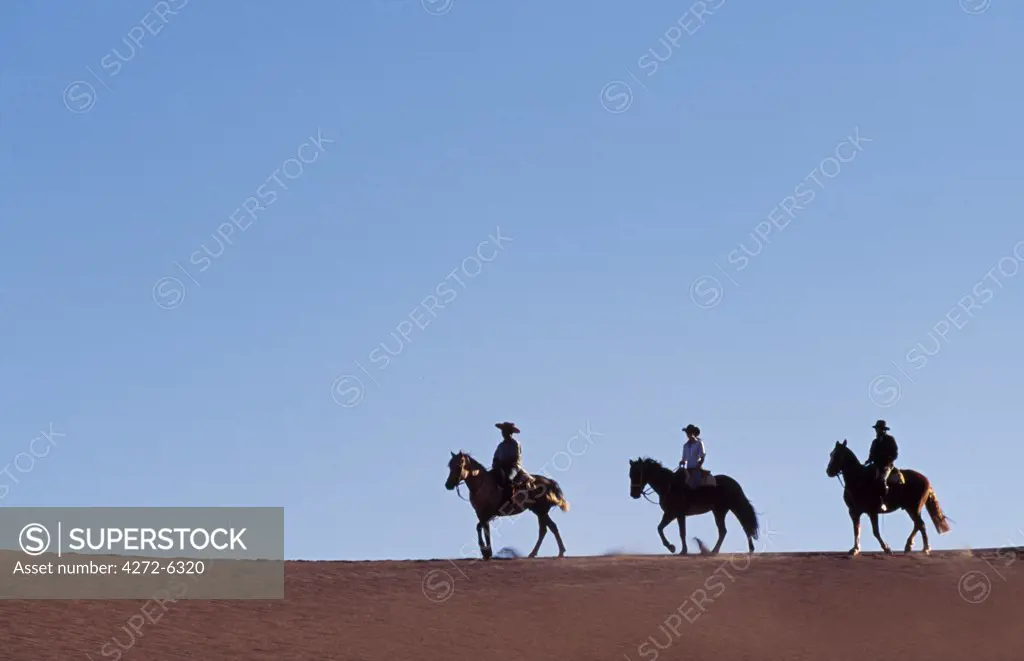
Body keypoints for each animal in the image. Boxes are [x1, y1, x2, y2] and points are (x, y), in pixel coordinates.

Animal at [444, 450, 573, 560]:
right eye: (449, 466)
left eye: (458, 466)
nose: (448, 485)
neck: (482, 484)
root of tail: (549, 481)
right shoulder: (481, 514)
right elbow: (485, 530)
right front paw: (487, 552)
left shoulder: (487, 513)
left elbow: (480, 528)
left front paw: (485, 551)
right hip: (539, 512)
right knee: (546, 529)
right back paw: (537, 553)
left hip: (541, 511)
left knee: (549, 528)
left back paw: (558, 552)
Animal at [622, 458, 761, 556]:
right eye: (630, 474)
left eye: (637, 473)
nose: (634, 494)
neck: (668, 486)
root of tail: (734, 483)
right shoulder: (670, 513)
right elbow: (660, 528)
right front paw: (672, 547)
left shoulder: (678, 514)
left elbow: (681, 532)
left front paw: (681, 550)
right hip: (721, 511)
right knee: (729, 529)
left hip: (725, 510)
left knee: (738, 527)